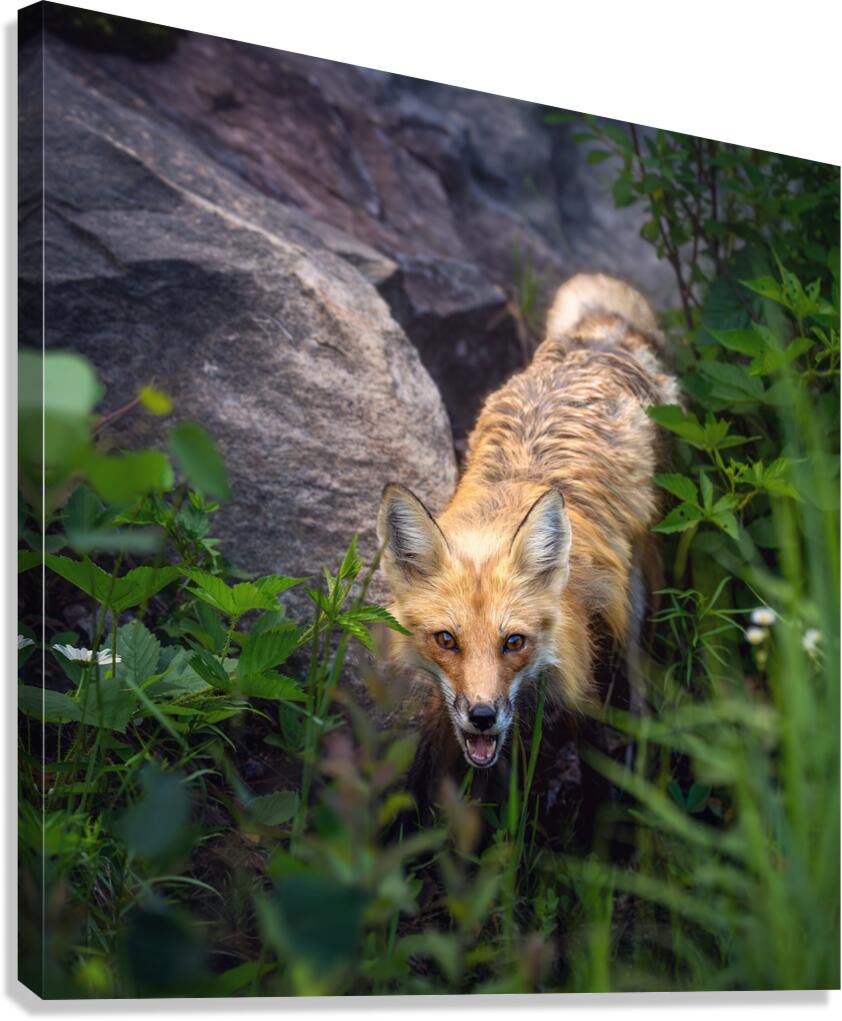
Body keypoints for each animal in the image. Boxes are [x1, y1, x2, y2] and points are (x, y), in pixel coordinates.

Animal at [376, 273, 680, 810]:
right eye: (446, 640)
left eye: (513, 642)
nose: (482, 716)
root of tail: (598, 341)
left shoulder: (590, 658)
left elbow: (590, 755)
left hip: (638, 591)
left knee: (641, 685)